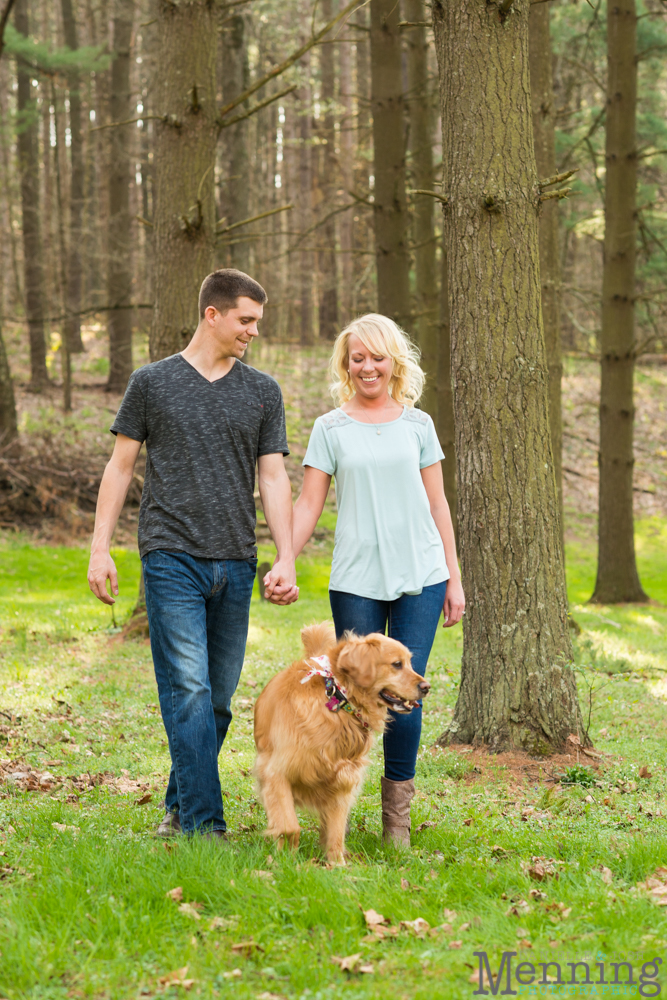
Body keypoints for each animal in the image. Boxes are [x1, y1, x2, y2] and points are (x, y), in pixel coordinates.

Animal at [253, 620, 430, 864]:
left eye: (410, 663)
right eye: (397, 664)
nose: (426, 687)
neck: (338, 701)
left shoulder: (343, 778)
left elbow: (336, 831)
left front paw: (337, 865)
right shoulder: (275, 772)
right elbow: (289, 826)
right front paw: (285, 859)